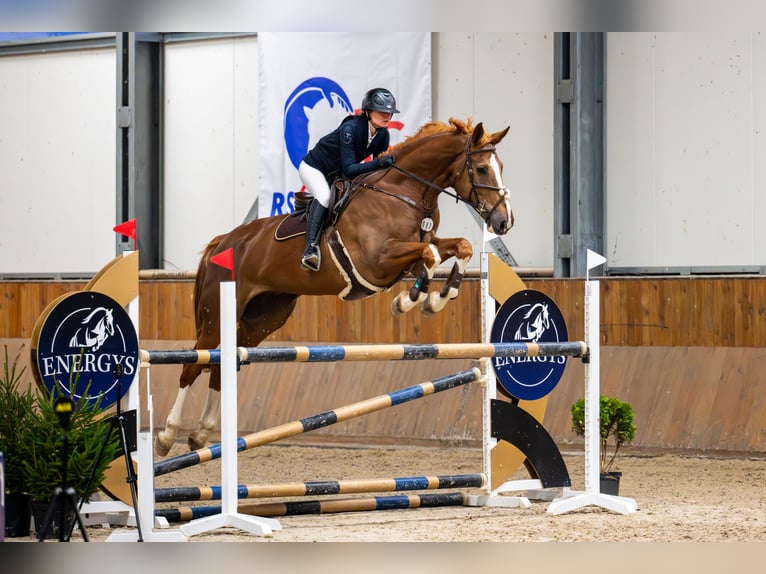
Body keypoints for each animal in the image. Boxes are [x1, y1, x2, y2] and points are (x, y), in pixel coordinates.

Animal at [155, 117, 514, 456]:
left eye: (501, 167)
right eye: (481, 168)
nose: (504, 222)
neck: (406, 191)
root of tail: (224, 241)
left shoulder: (414, 248)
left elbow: (458, 247)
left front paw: (437, 297)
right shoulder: (376, 261)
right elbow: (429, 253)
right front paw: (411, 300)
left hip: (264, 319)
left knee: (222, 365)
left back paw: (201, 434)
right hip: (216, 315)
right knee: (193, 364)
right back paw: (167, 435)